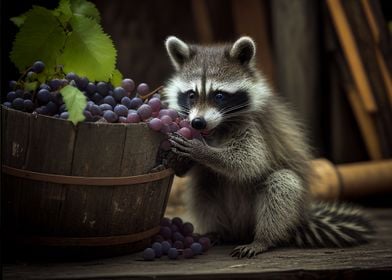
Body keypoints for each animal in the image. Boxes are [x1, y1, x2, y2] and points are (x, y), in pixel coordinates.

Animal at [162, 36, 374, 258]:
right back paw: (217, 231)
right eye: (191, 95)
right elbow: (187, 172)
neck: (218, 127)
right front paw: (178, 159)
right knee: (202, 189)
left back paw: (264, 238)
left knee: (282, 184)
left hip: (280, 209)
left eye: (219, 95)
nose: (197, 123)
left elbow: (249, 162)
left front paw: (204, 152)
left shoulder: (256, 127)